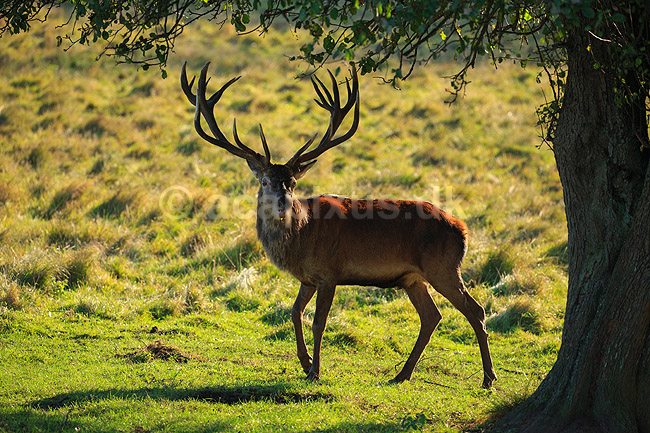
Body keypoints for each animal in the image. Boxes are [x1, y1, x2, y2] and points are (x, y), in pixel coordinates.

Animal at [180, 62, 497, 389]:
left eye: (293, 183)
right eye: (265, 181)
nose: (283, 203)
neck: (301, 238)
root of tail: (463, 230)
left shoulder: (328, 272)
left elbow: (319, 322)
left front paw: (314, 371)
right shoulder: (308, 278)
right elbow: (294, 312)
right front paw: (304, 361)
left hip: (443, 266)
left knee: (475, 309)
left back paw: (488, 377)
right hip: (412, 277)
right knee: (432, 316)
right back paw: (402, 374)